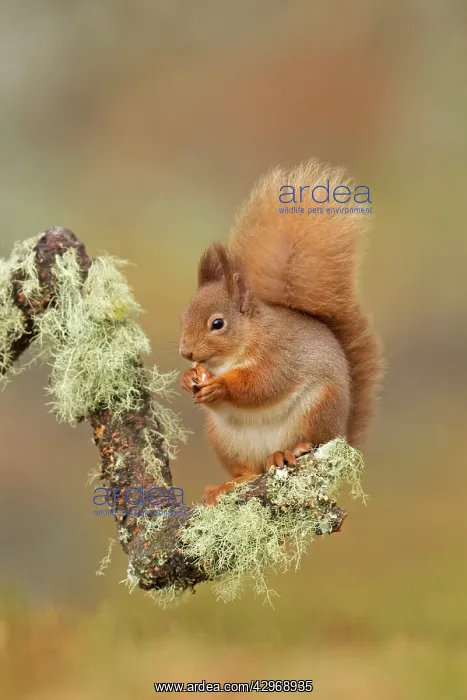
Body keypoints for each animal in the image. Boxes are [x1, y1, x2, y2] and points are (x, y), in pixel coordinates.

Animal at [179, 159, 383, 505]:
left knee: (308, 441)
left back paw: (288, 452)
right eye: (183, 316)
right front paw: (187, 378)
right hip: (225, 439)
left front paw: (220, 386)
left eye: (217, 324)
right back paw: (229, 484)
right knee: (250, 471)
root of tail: (342, 434)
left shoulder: (280, 353)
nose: (186, 352)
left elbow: (263, 384)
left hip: (317, 409)